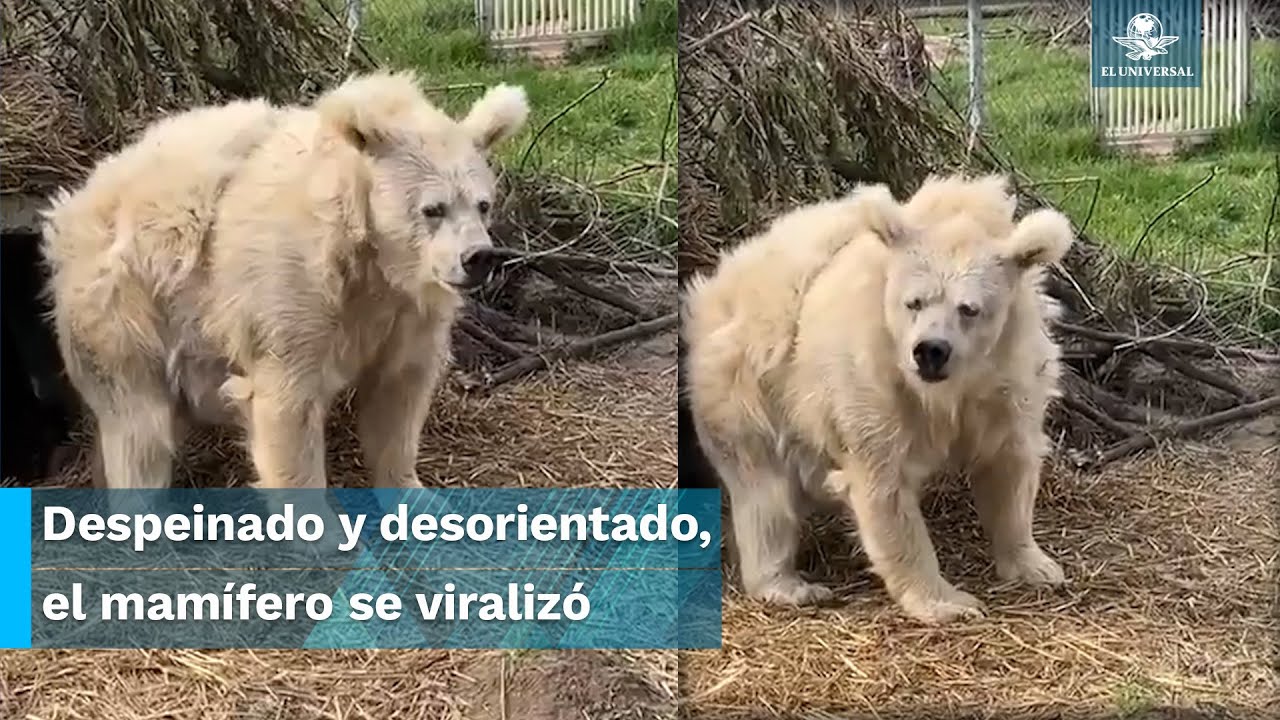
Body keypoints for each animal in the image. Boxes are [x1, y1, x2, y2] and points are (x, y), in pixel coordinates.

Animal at [40, 71, 530, 490]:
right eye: (433, 208)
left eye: (483, 204)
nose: (478, 257)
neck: (371, 258)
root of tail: (74, 204)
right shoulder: (293, 293)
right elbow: (287, 407)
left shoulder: (406, 312)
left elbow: (399, 395)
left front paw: (413, 488)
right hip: (124, 309)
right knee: (139, 429)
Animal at [681, 174, 1073, 624]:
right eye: (914, 301)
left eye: (969, 308)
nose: (930, 350)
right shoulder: (872, 382)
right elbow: (884, 487)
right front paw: (949, 602)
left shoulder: (1010, 380)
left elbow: (1009, 464)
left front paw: (1037, 565)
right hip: (750, 386)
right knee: (764, 493)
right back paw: (791, 586)